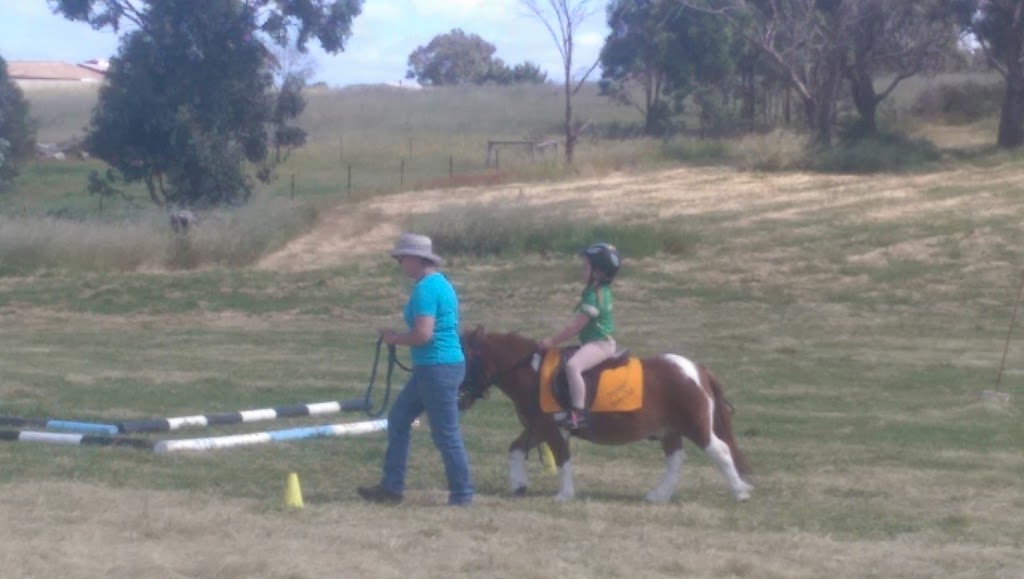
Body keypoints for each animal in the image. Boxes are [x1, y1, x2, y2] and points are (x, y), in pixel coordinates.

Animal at [456, 329, 753, 502]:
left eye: (465, 357)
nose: (459, 398)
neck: (534, 374)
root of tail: (696, 370)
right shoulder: (537, 428)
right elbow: (515, 449)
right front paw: (518, 484)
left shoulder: (553, 430)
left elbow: (563, 459)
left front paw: (564, 495)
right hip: (670, 429)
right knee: (675, 460)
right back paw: (658, 495)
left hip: (695, 425)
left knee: (720, 451)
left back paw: (740, 491)